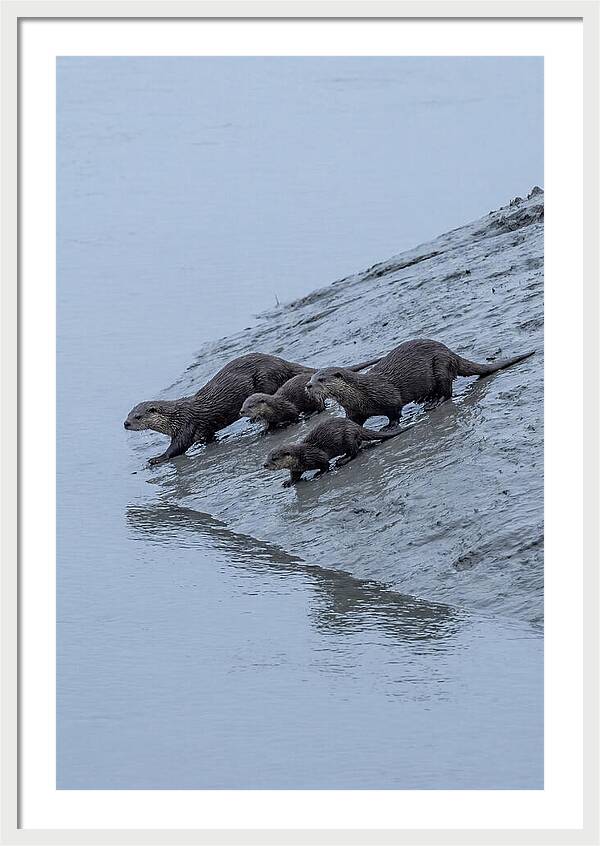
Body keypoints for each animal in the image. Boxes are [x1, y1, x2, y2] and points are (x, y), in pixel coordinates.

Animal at [240, 356, 381, 431]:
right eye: (243, 405)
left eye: (250, 406)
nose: (241, 411)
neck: (274, 407)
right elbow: (270, 424)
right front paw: (266, 430)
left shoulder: (288, 407)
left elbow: (294, 414)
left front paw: (293, 422)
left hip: (314, 398)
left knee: (321, 407)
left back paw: (311, 413)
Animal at [263, 417, 405, 486]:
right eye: (267, 457)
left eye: (274, 458)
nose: (265, 465)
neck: (301, 456)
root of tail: (355, 426)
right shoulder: (296, 468)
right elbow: (295, 476)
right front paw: (289, 482)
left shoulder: (317, 455)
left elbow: (325, 464)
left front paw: (319, 473)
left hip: (348, 436)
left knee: (354, 452)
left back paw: (342, 460)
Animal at [306, 339, 535, 427]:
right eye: (311, 378)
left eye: (321, 379)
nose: (308, 386)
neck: (361, 394)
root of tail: (450, 353)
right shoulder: (354, 411)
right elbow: (353, 423)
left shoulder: (388, 396)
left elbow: (395, 411)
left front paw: (390, 426)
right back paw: (426, 398)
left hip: (440, 365)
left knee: (447, 390)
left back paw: (434, 402)